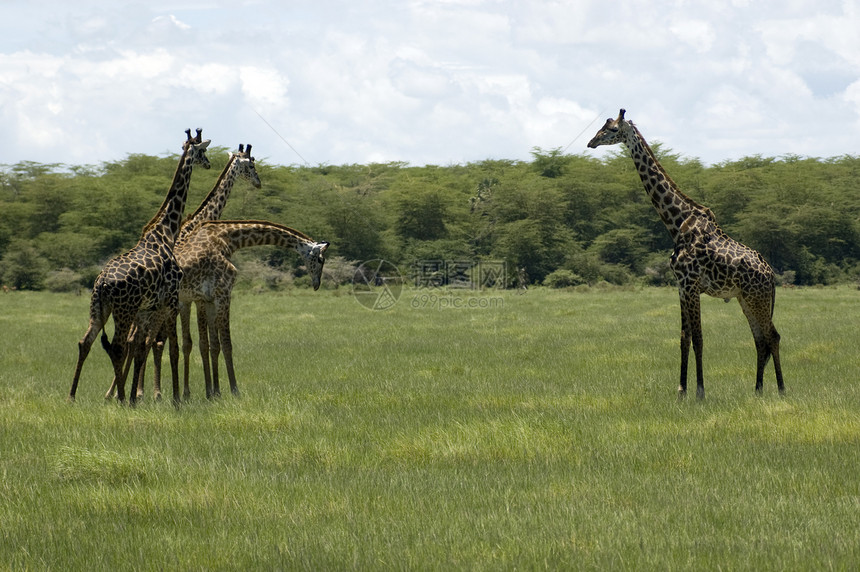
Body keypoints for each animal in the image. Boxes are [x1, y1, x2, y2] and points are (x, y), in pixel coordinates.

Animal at [70, 127, 212, 404]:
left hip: (100, 308)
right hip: (123, 310)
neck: (166, 233)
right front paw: (175, 399)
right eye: (203, 151)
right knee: (116, 346)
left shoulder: (149, 307)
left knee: (86, 341)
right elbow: (171, 347)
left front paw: (140, 397)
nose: (210, 164)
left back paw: (73, 396)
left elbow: (141, 345)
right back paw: (121, 398)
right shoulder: (171, 299)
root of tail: (102, 283)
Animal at [176, 219, 330, 398]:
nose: (316, 284)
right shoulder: (223, 294)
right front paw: (234, 390)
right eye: (320, 260)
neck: (227, 239)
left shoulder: (208, 299)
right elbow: (226, 344)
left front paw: (214, 393)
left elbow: (212, 345)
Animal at [588, 108, 784, 398]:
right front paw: (681, 390)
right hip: (746, 298)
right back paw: (757, 390)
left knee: (772, 336)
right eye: (602, 126)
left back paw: (781, 389)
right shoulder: (681, 286)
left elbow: (699, 339)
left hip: (757, 298)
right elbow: (684, 338)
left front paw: (700, 391)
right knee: (760, 339)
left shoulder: (691, 285)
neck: (676, 223)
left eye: (612, 129)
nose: (591, 142)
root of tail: (771, 276)